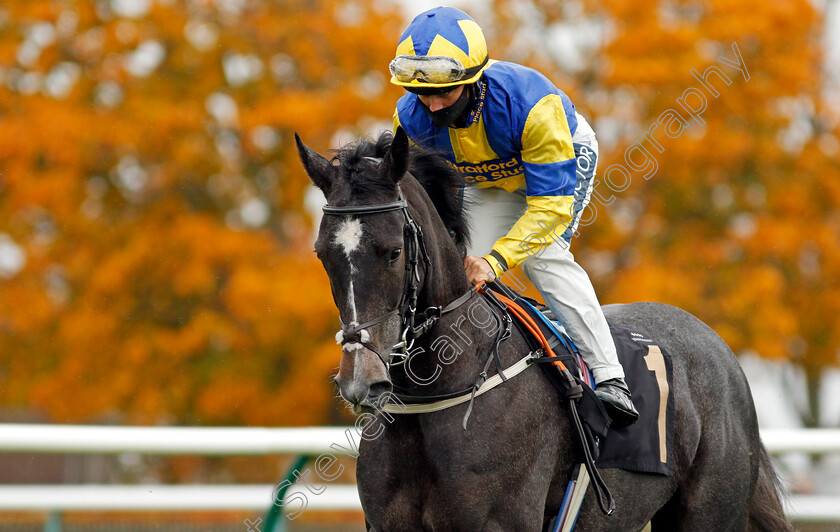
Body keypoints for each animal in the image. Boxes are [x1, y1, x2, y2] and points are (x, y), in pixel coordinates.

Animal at [296, 125, 796, 532]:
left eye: (394, 251)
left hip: (710, 510)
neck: (438, 394)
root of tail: (719, 349)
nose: (360, 381)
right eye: (322, 254)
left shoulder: (500, 522)